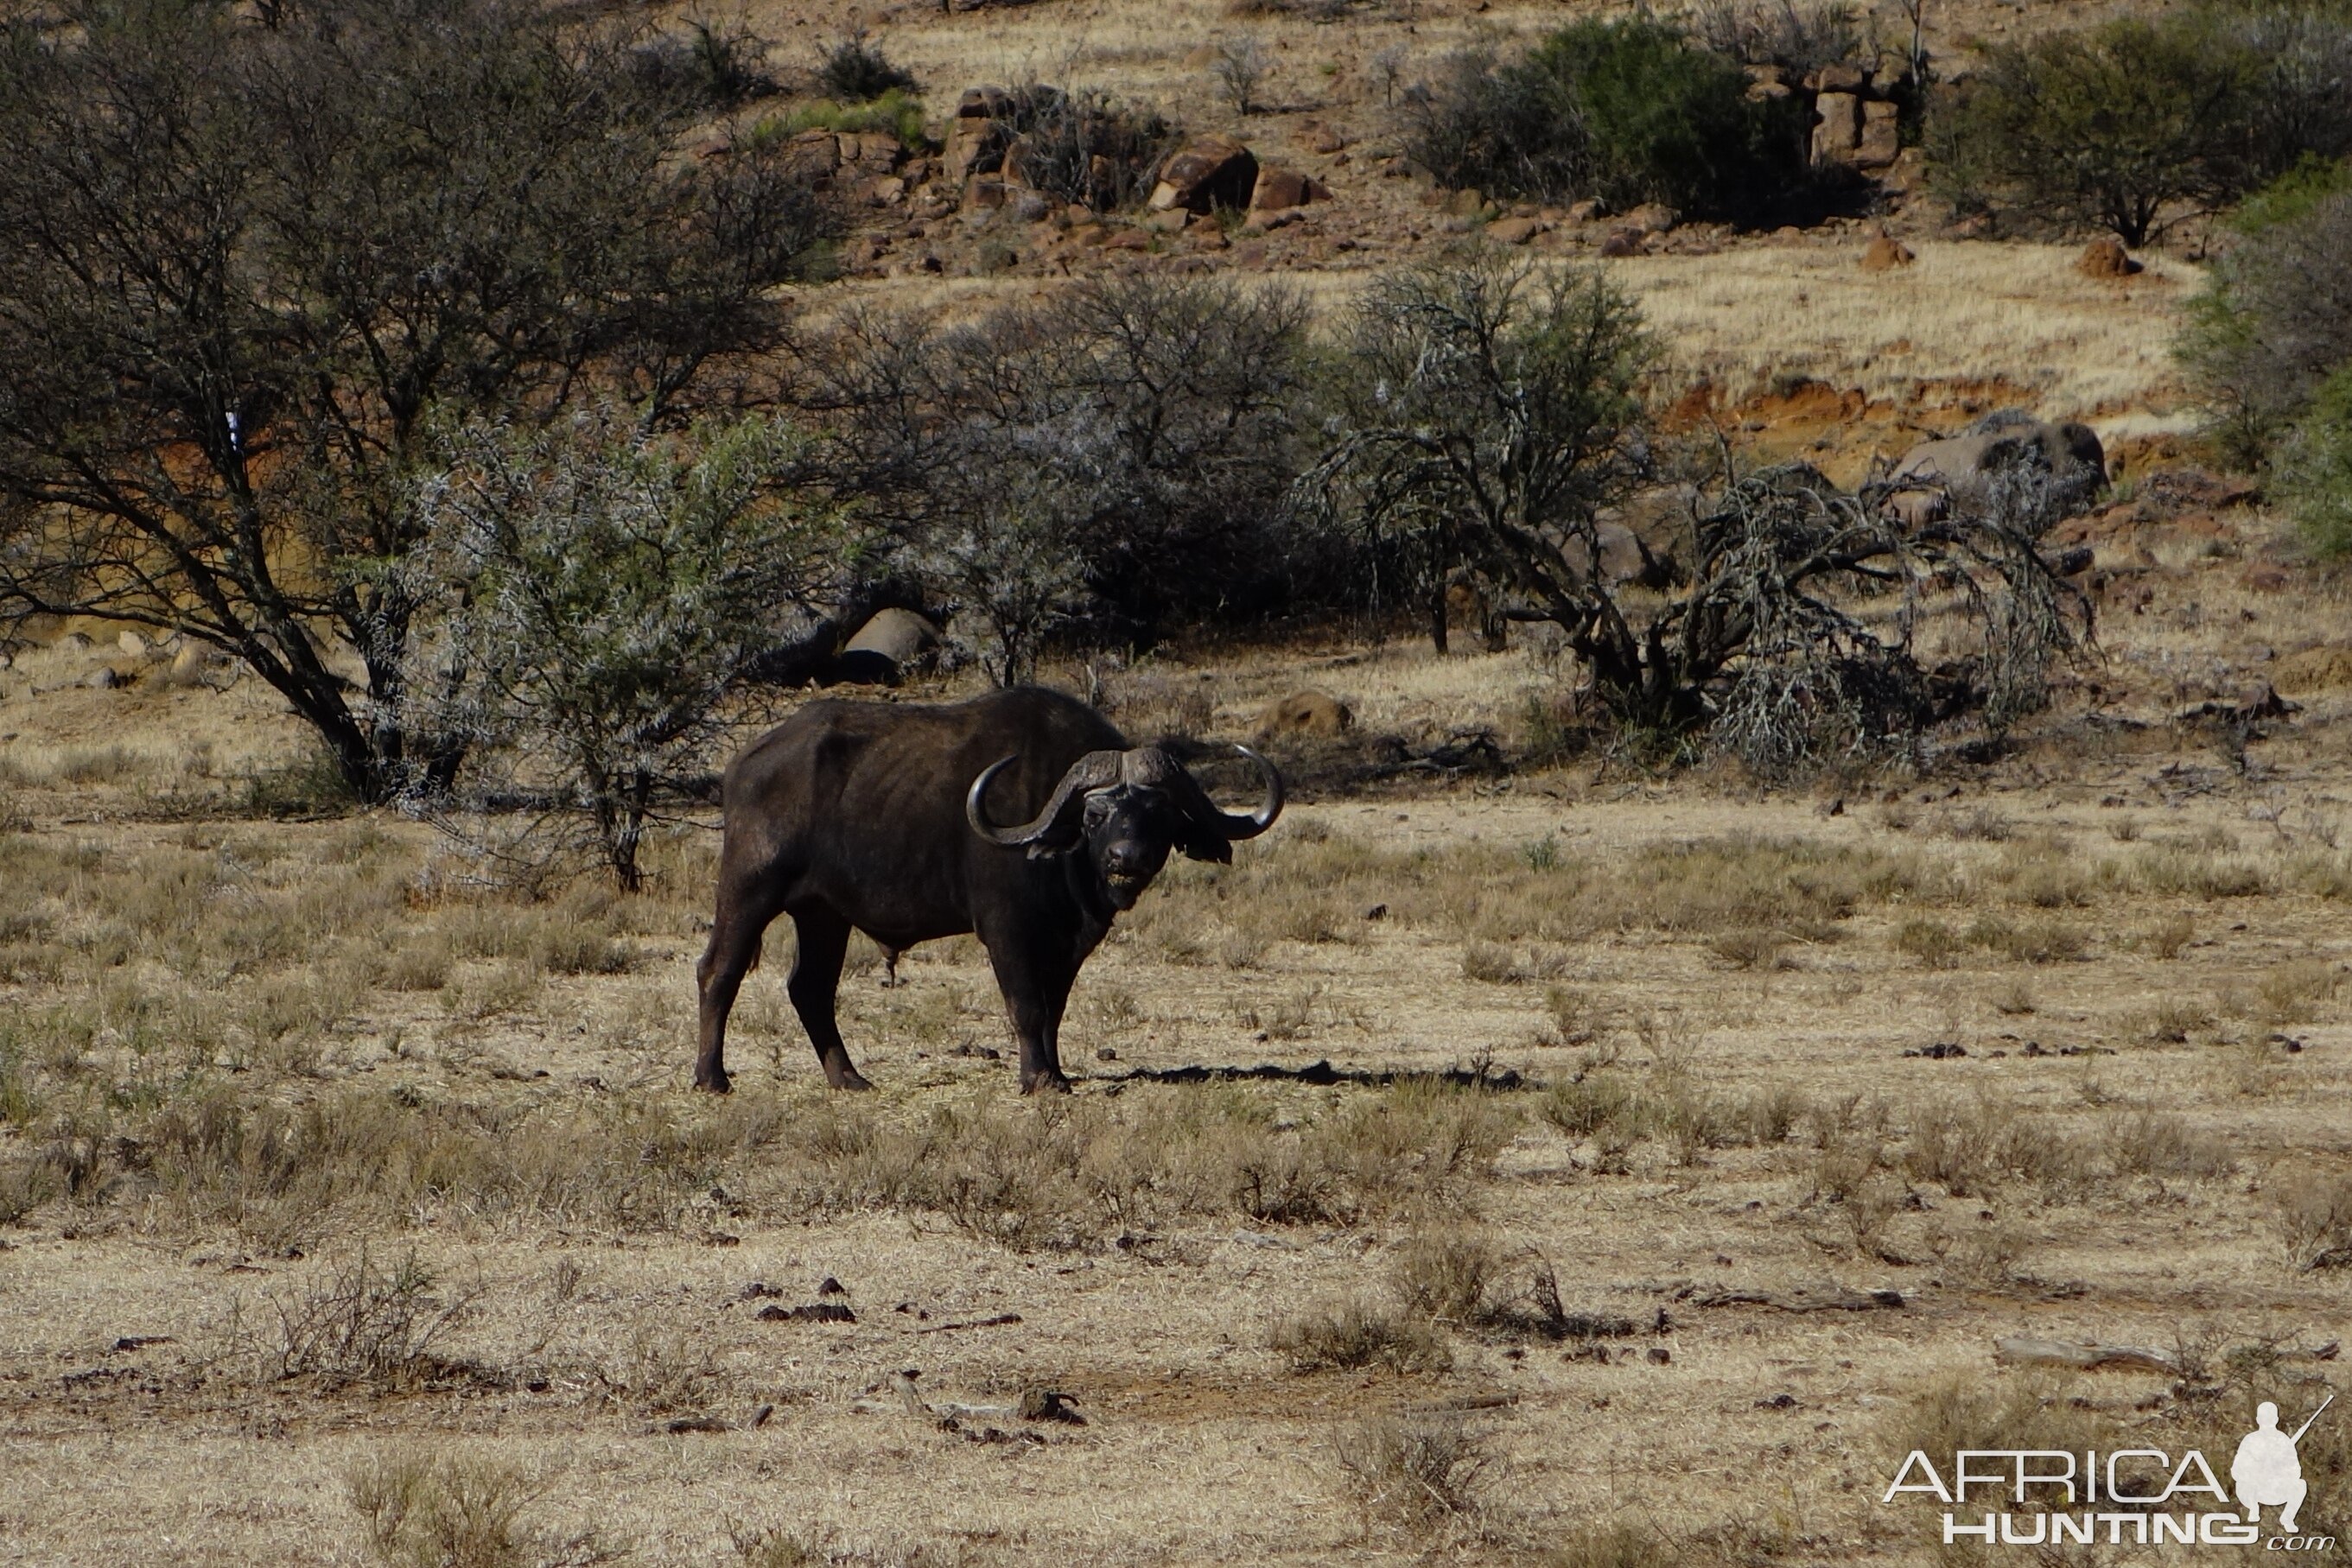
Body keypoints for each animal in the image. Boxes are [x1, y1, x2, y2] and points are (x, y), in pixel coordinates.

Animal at [696, 686, 1288, 1090]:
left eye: (1158, 814)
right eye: (1095, 813)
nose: (1127, 859)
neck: (1059, 854)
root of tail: (746, 760)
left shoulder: (1069, 942)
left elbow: (1054, 1009)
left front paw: (1055, 1072)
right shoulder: (1006, 930)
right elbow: (1025, 1004)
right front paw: (1038, 1081)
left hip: (824, 914)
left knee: (810, 988)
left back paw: (850, 1079)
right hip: (749, 887)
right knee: (718, 970)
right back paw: (712, 1077)